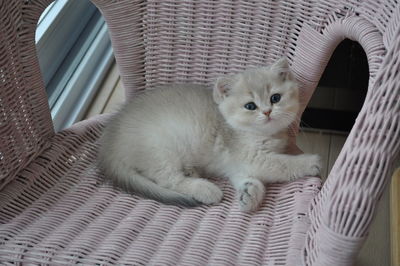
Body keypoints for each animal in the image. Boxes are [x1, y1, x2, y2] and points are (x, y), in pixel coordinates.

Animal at [98, 58, 320, 212]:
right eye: (250, 106)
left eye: (275, 98)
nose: (267, 112)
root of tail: (109, 145)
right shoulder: (252, 157)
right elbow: (283, 164)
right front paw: (310, 162)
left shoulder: (236, 164)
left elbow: (247, 178)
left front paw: (250, 193)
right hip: (161, 148)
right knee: (168, 180)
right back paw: (206, 189)